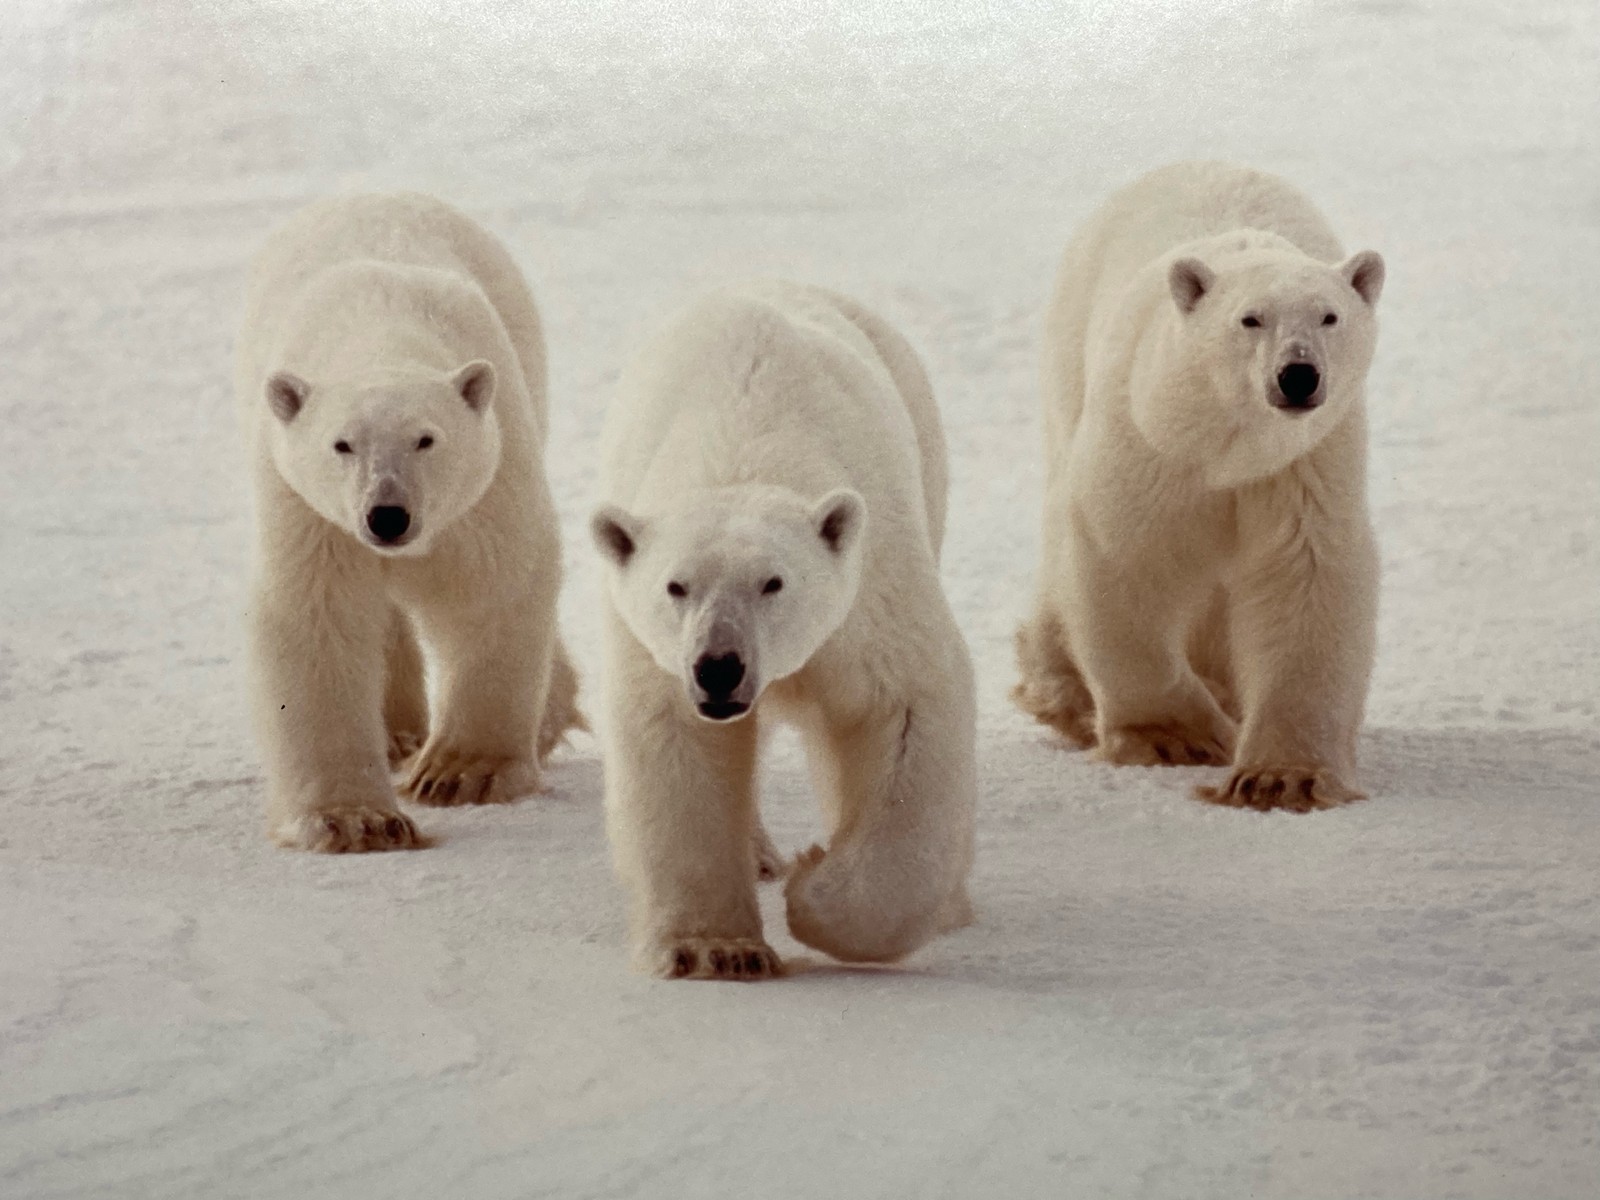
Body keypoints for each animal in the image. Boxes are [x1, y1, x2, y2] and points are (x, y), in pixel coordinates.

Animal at [236, 192, 584, 852]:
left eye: (427, 439)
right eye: (341, 444)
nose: (388, 515)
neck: (380, 328)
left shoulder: (486, 483)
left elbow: (496, 584)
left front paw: (461, 774)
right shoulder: (308, 510)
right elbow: (317, 614)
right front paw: (355, 820)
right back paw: (396, 733)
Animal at [590, 281, 977, 979]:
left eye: (773, 583)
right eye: (676, 586)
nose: (718, 666)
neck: (744, 444)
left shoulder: (871, 591)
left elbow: (906, 707)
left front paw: (815, 889)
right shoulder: (655, 652)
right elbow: (677, 743)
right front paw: (717, 950)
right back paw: (761, 855)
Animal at [1014, 162, 1385, 812]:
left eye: (1330, 316)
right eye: (1250, 318)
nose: (1298, 374)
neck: (1225, 448)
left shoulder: (1302, 468)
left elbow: (1307, 578)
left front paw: (1281, 778)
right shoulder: (1149, 441)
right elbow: (1125, 555)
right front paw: (1173, 739)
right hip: (1067, 361)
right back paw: (1061, 690)